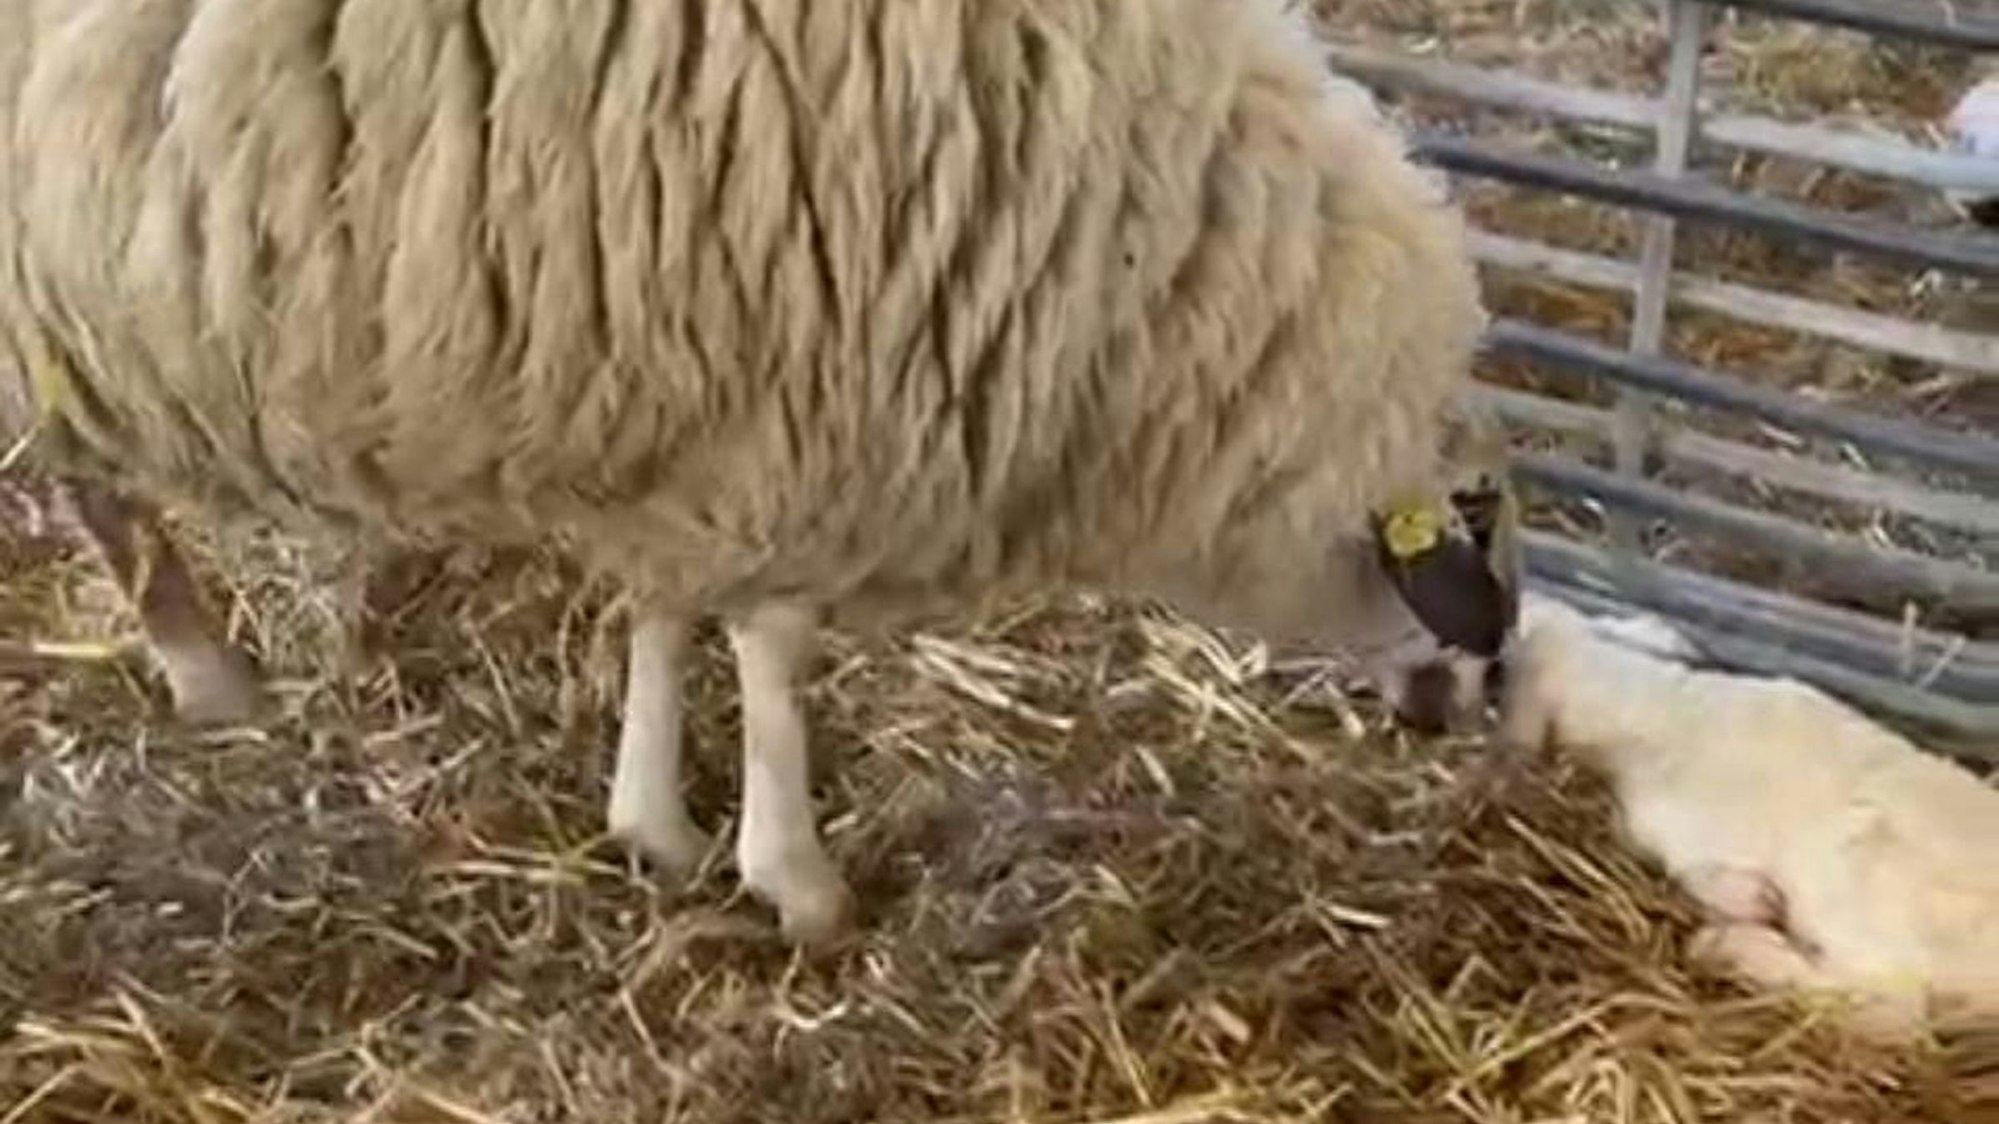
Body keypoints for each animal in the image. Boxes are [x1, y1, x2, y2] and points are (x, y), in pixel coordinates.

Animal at [1, 0, 1520, 943]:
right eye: (1471, 524)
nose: (1453, 709)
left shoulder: (697, 408)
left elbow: (667, 613)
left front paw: (655, 828)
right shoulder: (792, 395)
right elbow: (774, 653)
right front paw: (794, 881)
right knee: (96, 487)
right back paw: (206, 666)